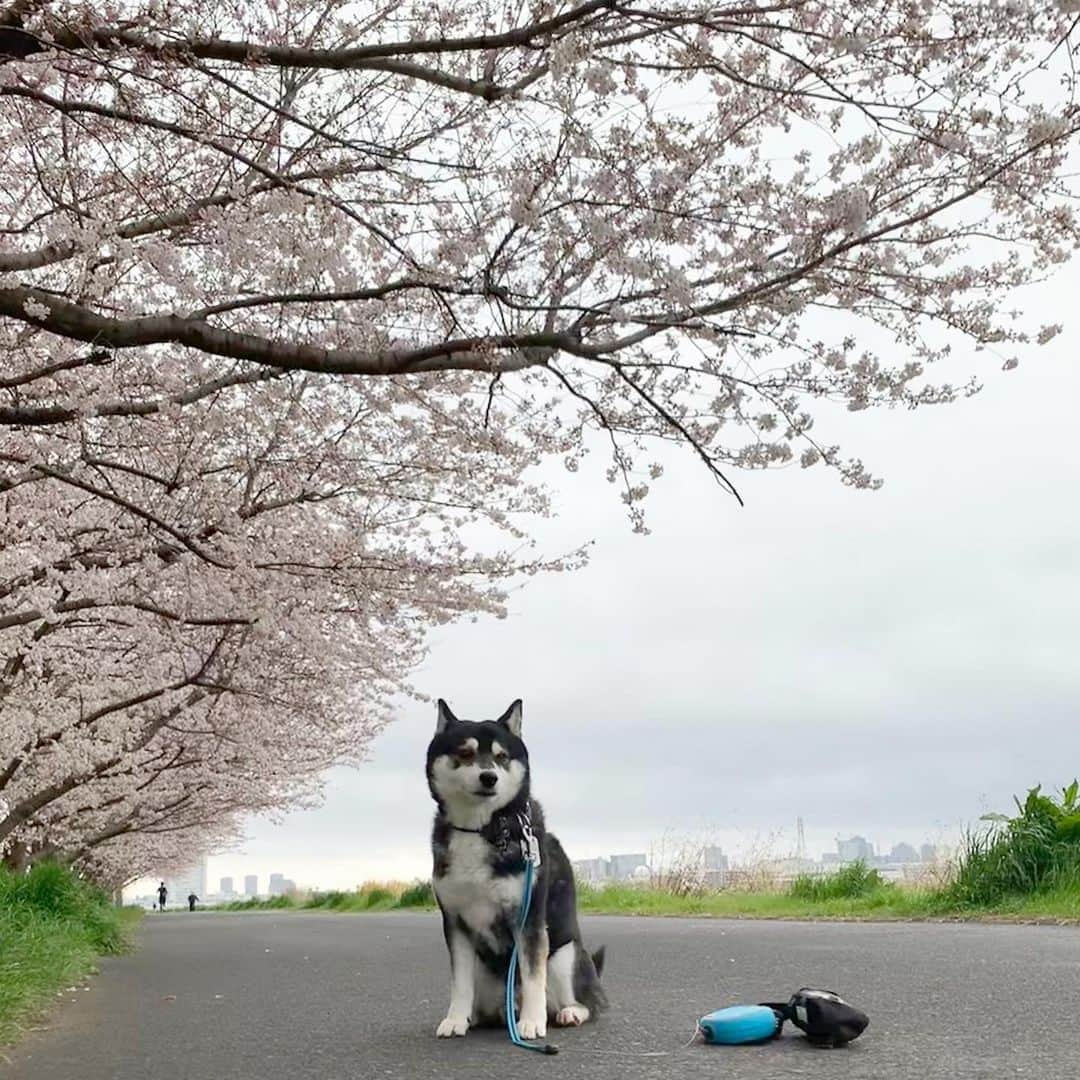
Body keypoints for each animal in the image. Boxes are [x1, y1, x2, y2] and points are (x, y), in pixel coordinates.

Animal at [425, 699, 609, 1036]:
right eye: (466, 753)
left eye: (501, 757)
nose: (489, 777)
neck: (480, 830)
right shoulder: (455, 924)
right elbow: (459, 983)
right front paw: (455, 1019)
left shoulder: (530, 920)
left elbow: (534, 976)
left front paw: (533, 1023)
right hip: (484, 969)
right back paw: (483, 1015)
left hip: (564, 956)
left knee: (586, 1001)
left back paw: (566, 1013)